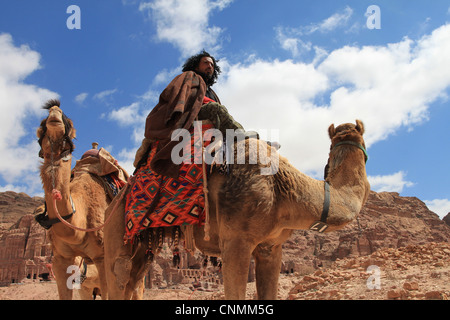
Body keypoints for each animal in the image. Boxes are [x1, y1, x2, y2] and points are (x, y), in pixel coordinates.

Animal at [103, 119, 370, 298]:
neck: (281, 188)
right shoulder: (236, 240)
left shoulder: (270, 247)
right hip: (117, 228)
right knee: (119, 272)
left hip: (141, 244)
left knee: (134, 277)